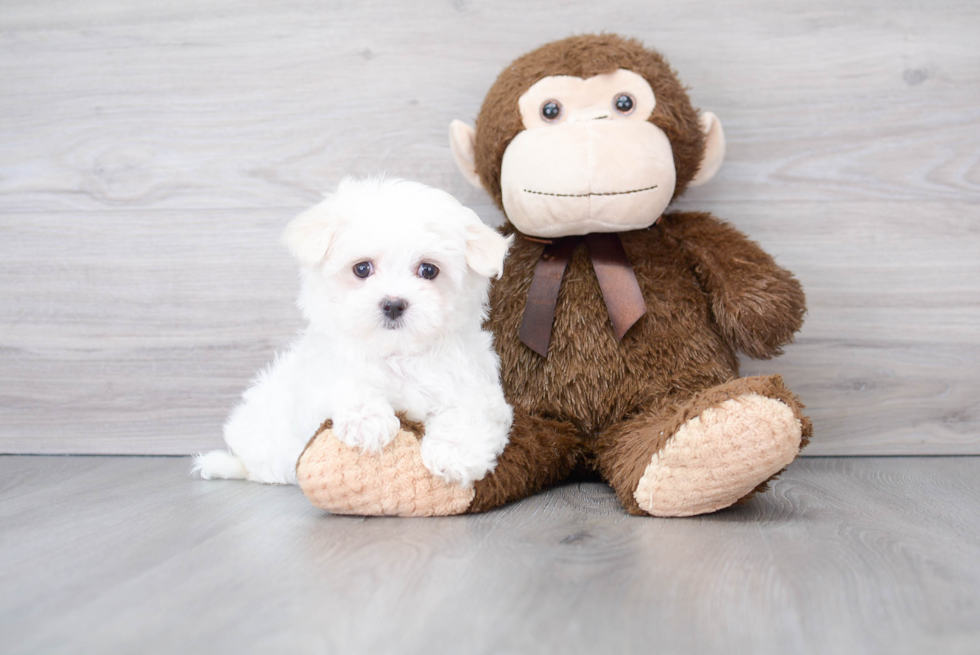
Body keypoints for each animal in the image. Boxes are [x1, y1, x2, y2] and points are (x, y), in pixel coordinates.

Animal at [190, 178, 512, 486]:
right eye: (362, 268)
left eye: (429, 270)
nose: (393, 304)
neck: (396, 353)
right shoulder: (321, 371)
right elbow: (345, 379)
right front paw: (367, 422)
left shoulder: (473, 386)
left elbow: (467, 415)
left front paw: (454, 457)